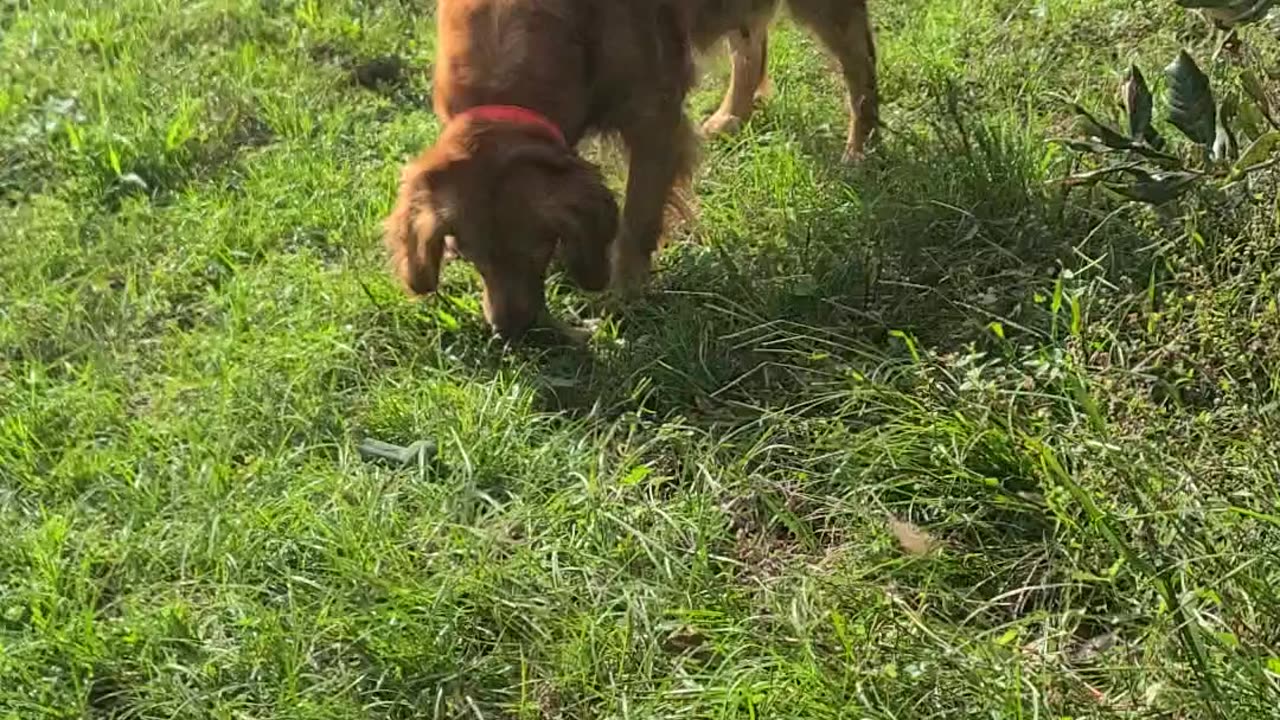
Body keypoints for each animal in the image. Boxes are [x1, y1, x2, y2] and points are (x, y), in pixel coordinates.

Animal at [384, 0, 875, 338]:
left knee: (860, 64)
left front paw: (625, 301)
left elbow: (636, 222)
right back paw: (731, 117)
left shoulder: (654, 118)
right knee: (751, 42)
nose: (512, 332)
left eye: (537, 248)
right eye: (468, 256)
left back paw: (862, 151)